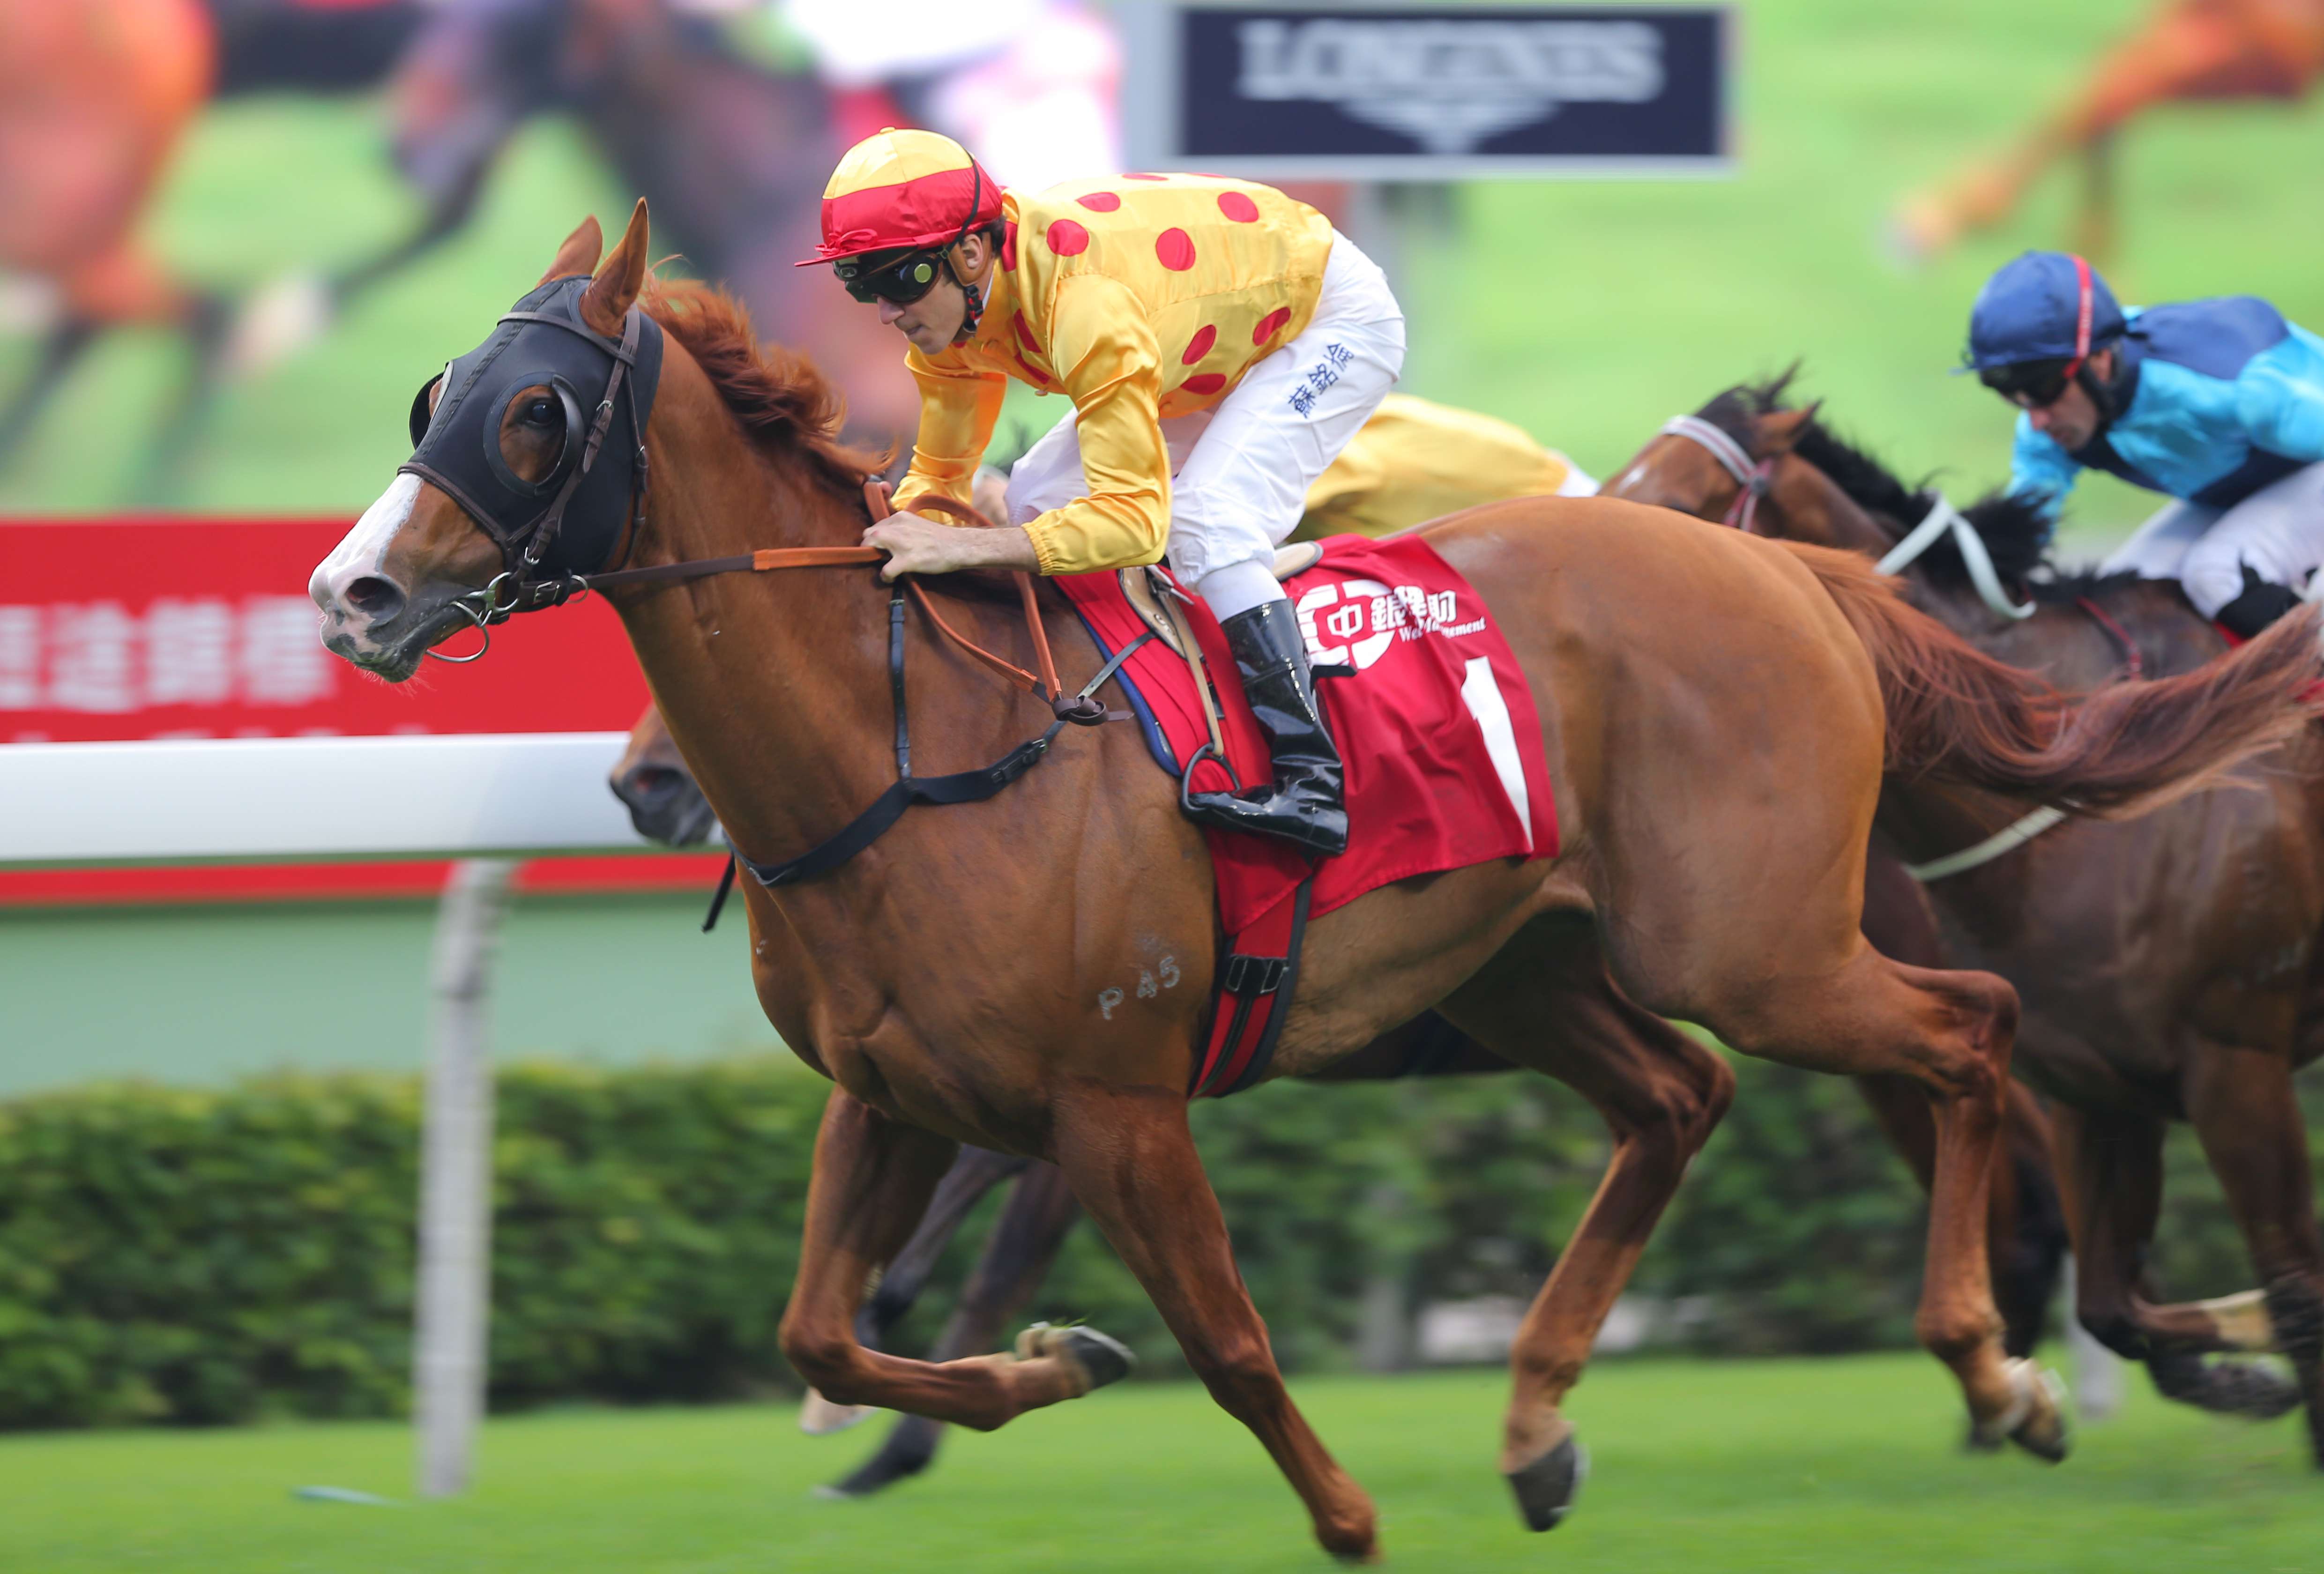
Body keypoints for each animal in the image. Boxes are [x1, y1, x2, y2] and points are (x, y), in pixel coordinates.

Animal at [604, 702, 2073, 1497]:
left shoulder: (1090, 1101)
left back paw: (2008, 1357)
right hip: (1580, 984)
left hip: (1769, 970)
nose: (642, 783)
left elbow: (972, 1252)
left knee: (1982, 1067)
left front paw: (899, 1422)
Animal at [1608, 374, 2324, 1450]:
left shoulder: (2235, 1063)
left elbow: (2293, 1289)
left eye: (1681, 503)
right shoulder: (2095, 1085)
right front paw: (2221, 1378)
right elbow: (2116, 1305)